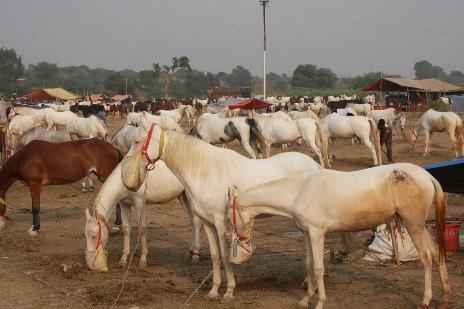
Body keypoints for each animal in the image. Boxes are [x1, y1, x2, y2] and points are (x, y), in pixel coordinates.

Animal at [119, 124, 322, 302]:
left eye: (136, 141)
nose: (124, 167)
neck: (205, 172)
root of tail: (314, 165)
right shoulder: (207, 222)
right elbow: (215, 255)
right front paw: (214, 291)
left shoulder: (219, 222)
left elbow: (225, 256)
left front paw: (229, 292)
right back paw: (307, 283)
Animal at [234, 162, 452, 306]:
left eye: (232, 213)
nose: (241, 239)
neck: (299, 191)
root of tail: (426, 176)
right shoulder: (307, 234)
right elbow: (309, 264)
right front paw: (305, 299)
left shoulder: (317, 234)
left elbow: (318, 268)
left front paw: (319, 302)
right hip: (418, 226)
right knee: (436, 252)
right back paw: (444, 298)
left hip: (413, 225)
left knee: (426, 257)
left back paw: (425, 300)